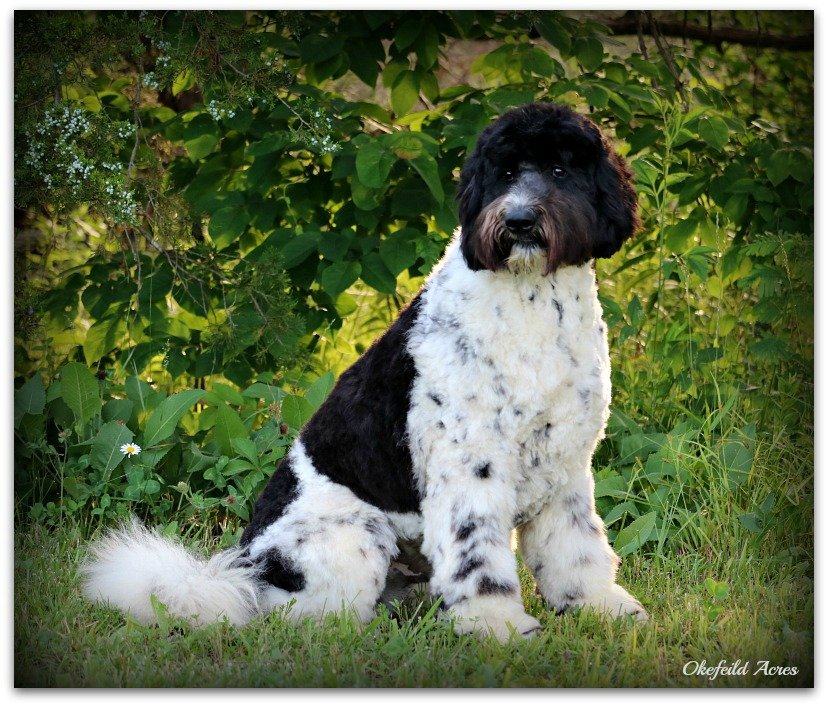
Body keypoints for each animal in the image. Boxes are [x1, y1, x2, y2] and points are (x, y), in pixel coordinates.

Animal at [85, 102, 652, 640]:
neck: (533, 303)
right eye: (506, 172)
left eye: (559, 170)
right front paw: (499, 627)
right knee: (308, 619)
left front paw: (600, 609)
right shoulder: (471, 472)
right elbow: (478, 562)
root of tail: (244, 575)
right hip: (355, 535)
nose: (517, 221)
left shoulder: (566, 466)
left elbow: (577, 550)